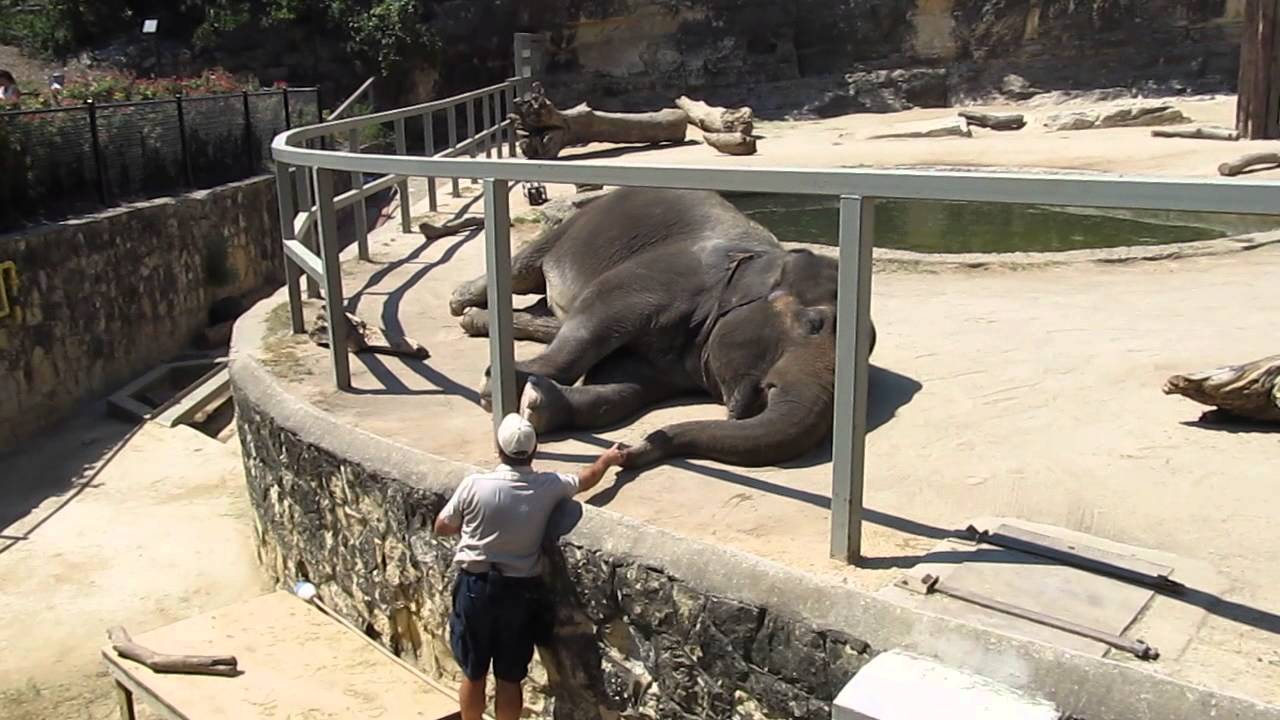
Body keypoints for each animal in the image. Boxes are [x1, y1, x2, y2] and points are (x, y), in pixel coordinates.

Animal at [449, 187, 876, 469]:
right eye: (814, 324)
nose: (626, 449)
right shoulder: (667, 277)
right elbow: (597, 318)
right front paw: (499, 389)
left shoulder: (679, 361)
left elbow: (624, 387)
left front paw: (537, 405)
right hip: (570, 228)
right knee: (522, 271)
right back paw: (459, 302)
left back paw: (475, 319)